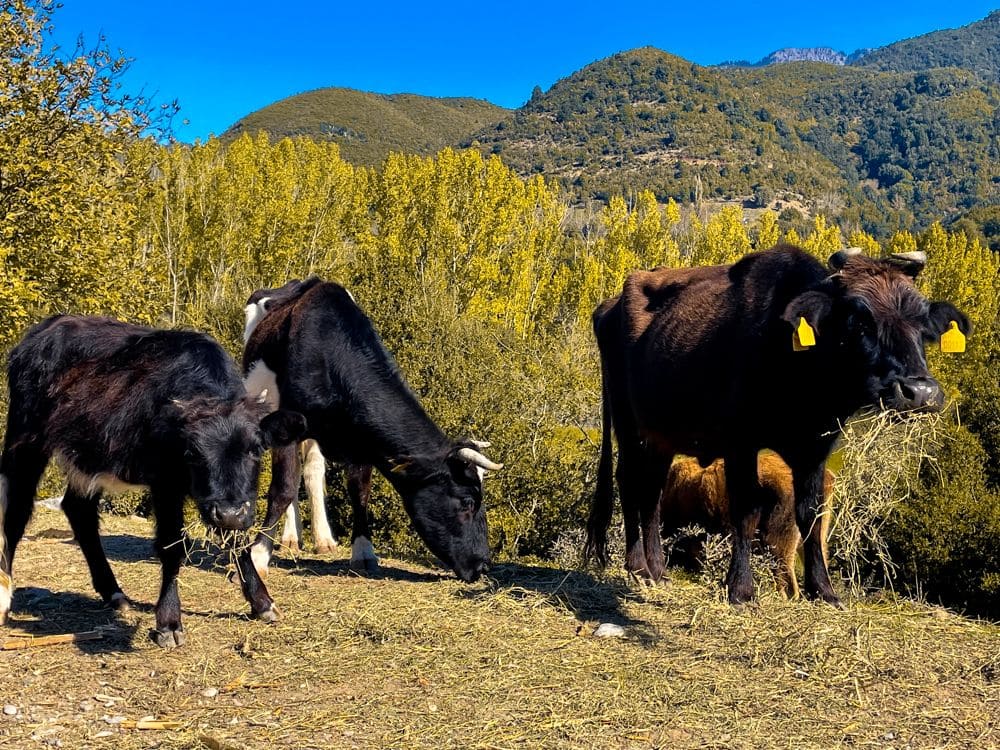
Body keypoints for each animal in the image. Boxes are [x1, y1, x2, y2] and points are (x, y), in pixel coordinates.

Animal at [0, 316, 304, 648]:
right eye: (192, 452)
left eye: (255, 449)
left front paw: (262, 602)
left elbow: (237, 542)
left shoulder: (233, 500)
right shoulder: (165, 484)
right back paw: (4, 596)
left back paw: (114, 593)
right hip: (25, 440)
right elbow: (171, 545)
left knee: (79, 510)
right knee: (15, 513)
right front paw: (169, 622)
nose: (228, 513)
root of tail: (46, 327)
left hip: (86, 457)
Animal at [235, 278, 500, 624]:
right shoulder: (289, 419)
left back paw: (318, 539)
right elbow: (281, 489)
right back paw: (290, 538)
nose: (483, 564)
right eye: (467, 502)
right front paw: (258, 554)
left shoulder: (360, 436)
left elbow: (358, 490)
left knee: (312, 471)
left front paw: (363, 550)